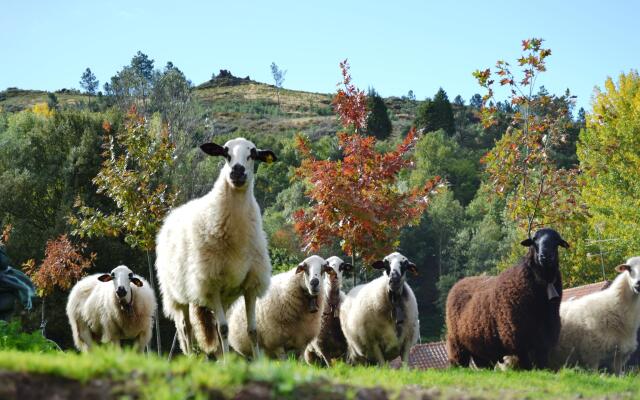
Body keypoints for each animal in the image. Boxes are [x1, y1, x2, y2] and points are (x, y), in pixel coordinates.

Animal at [156, 138, 276, 356]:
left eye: (253, 154)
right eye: (225, 153)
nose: (237, 172)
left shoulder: (250, 285)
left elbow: (252, 331)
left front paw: (257, 360)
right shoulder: (211, 286)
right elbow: (224, 329)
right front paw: (227, 361)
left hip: (224, 296)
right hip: (178, 294)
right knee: (186, 329)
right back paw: (192, 357)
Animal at [444, 228, 568, 368]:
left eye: (556, 241)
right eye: (534, 240)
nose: (545, 256)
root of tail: (460, 282)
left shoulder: (544, 342)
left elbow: (542, 365)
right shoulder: (518, 339)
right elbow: (527, 366)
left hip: (480, 347)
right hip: (457, 343)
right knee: (459, 362)